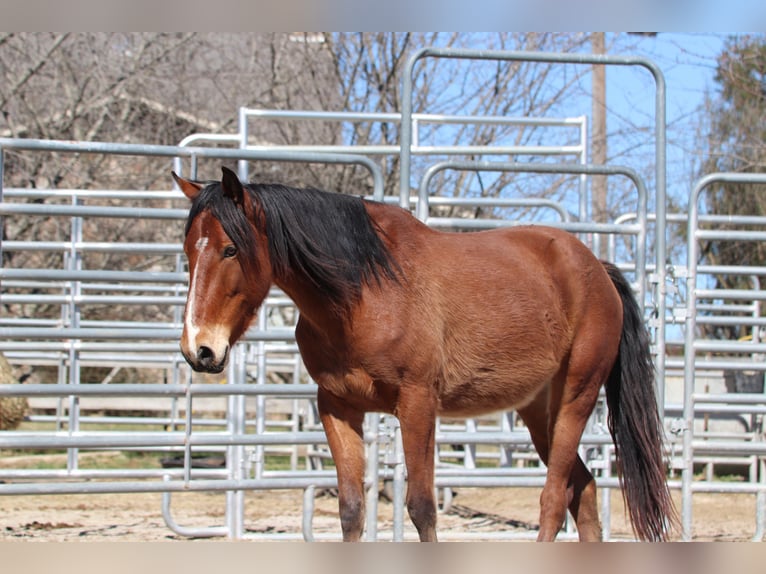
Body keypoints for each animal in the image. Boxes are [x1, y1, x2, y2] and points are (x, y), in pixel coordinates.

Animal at [174, 168, 680, 544]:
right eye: (187, 252)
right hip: (540, 413)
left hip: (577, 397)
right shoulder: (337, 407)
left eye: (230, 249)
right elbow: (351, 509)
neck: (363, 293)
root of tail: (596, 269)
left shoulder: (417, 404)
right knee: (585, 491)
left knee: (555, 500)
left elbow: (421, 508)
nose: (199, 349)